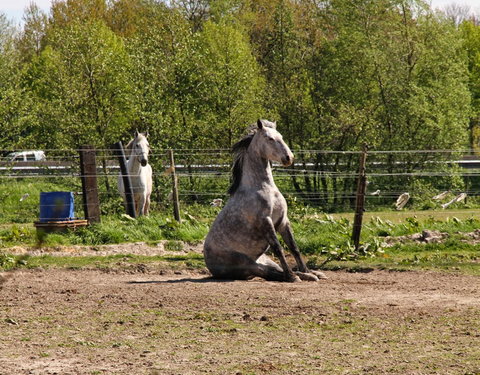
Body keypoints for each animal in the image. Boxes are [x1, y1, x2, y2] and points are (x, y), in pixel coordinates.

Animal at [202, 119, 326, 282]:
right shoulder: (265, 221)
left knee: (274, 270)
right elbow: (278, 248)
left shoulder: (283, 220)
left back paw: (312, 274)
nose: (289, 158)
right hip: (247, 263)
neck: (263, 188)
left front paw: (308, 271)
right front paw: (292, 276)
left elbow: (294, 247)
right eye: (270, 139)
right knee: (269, 273)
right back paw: (293, 276)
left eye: (281, 136)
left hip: (264, 260)